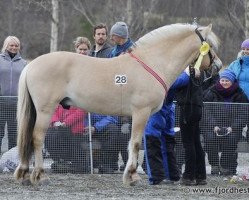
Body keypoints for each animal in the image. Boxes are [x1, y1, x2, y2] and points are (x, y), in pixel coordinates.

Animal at [14, 23, 223, 186]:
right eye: (210, 45)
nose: (218, 66)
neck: (151, 63)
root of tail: (31, 65)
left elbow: (135, 143)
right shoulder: (141, 113)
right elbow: (136, 143)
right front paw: (132, 177)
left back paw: (24, 174)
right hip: (45, 111)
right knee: (37, 138)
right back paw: (40, 176)